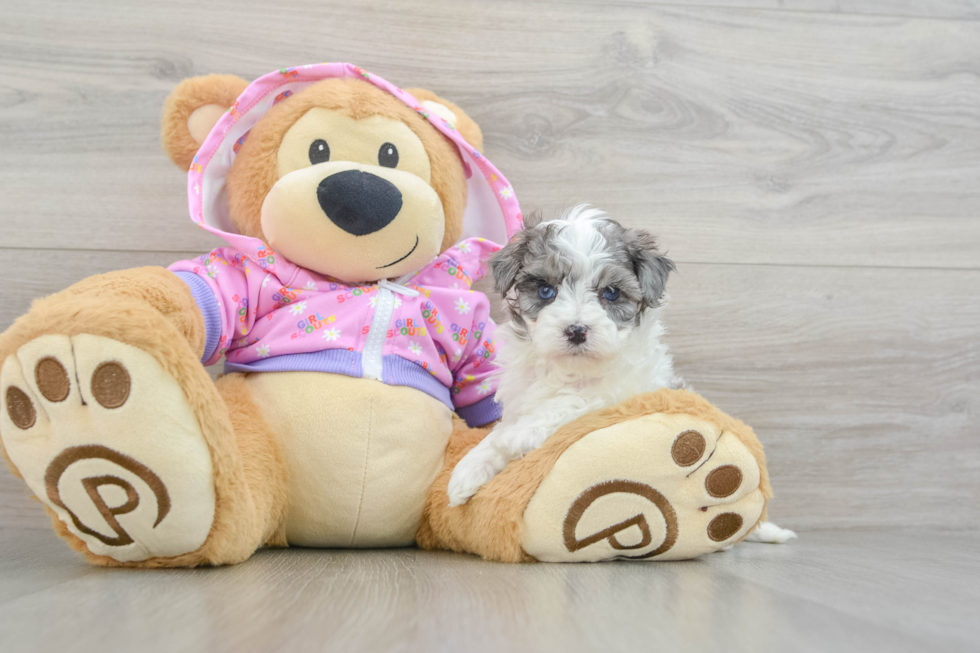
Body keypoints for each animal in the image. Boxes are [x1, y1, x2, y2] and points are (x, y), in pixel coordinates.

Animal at [446, 204, 680, 504]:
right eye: (546, 290)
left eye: (611, 293)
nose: (576, 330)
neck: (570, 369)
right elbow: (497, 432)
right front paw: (470, 468)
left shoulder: (629, 390)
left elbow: (578, 399)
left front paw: (519, 434)